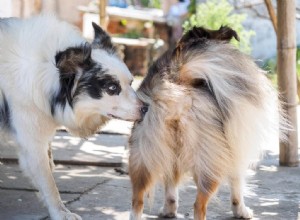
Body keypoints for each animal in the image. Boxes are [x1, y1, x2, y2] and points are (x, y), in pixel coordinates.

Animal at [0, 14, 145, 219]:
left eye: (131, 83)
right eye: (112, 88)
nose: (146, 108)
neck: (48, 73)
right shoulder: (31, 140)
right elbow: (48, 182)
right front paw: (61, 213)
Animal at [127, 26, 284, 219]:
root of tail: (177, 78)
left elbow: (171, 183)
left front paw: (169, 210)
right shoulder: (235, 146)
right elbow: (237, 182)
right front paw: (241, 211)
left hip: (143, 151)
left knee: (137, 200)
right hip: (211, 159)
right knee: (198, 205)